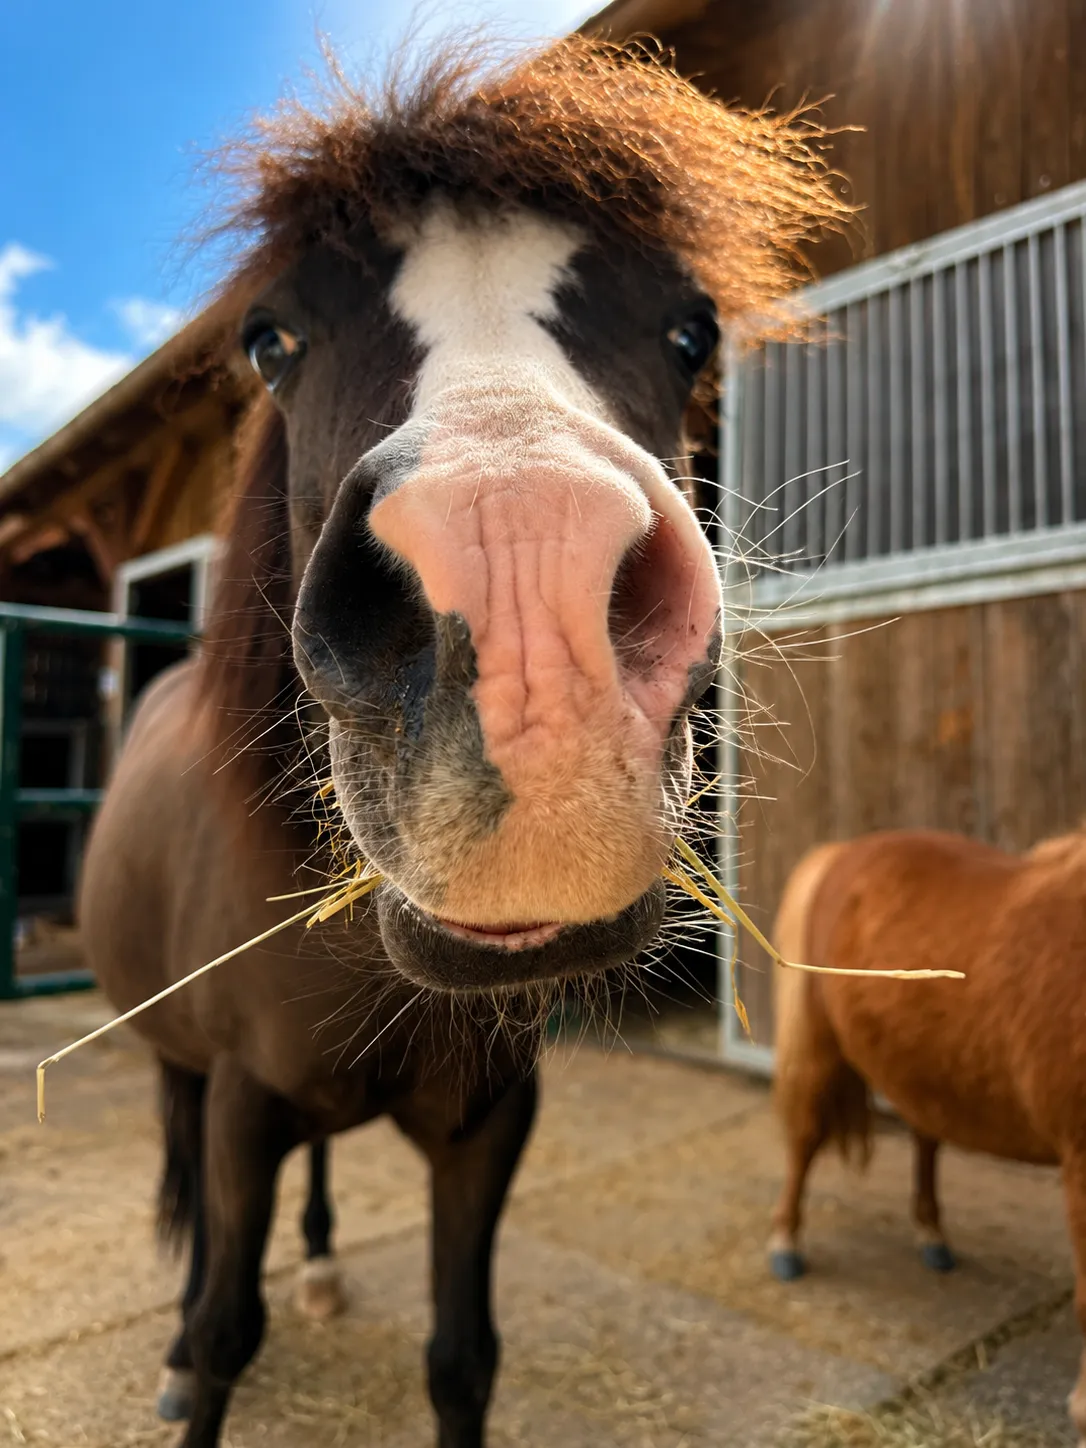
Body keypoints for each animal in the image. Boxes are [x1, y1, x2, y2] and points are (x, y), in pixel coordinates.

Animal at [78, 37, 844, 1448]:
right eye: (271, 337)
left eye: (690, 330)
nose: (523, 585)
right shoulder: (240, 1104)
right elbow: (223, 1329)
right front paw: (191, 1358)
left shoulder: (488, 1120)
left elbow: (461, 1357)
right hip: (184, 1076)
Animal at [766, 827, 1086, 1446]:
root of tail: (846, 851)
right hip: (819, 1048)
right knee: (804, 1141)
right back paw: (786, 1246)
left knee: (925, 1138)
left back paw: (932, 1235)